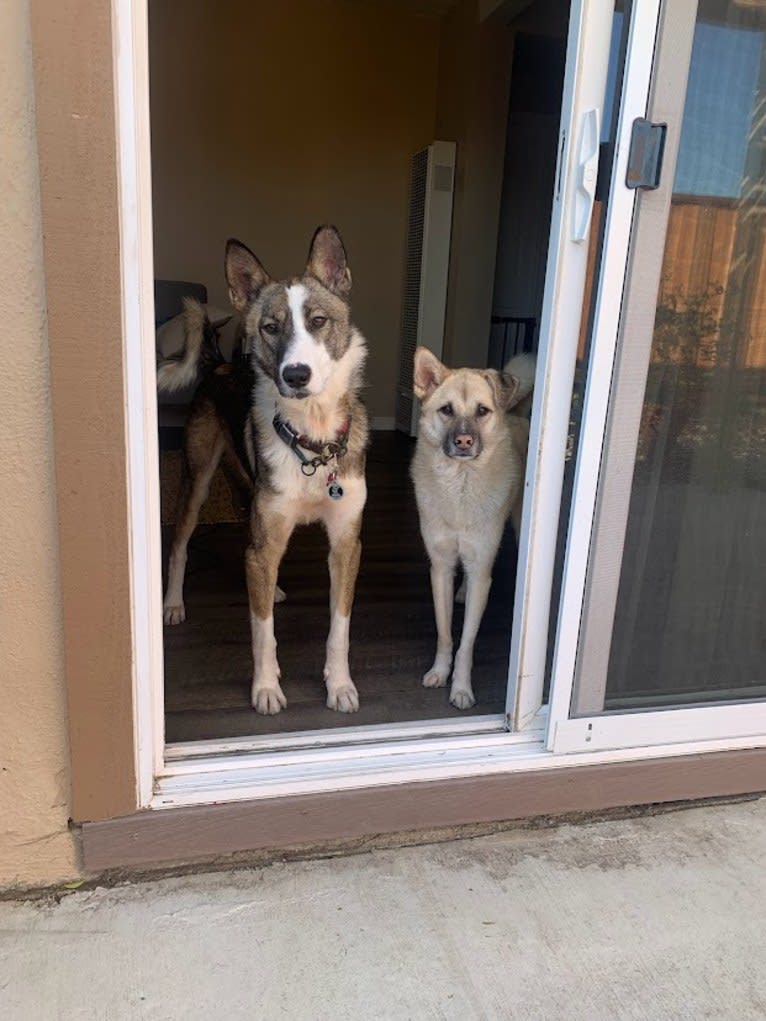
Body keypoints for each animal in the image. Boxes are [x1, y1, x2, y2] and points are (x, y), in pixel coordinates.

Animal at [410, 347, 535, 706]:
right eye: (446, 410)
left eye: (482, 411)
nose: (464, 441)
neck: (460, 488)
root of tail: (515, 414)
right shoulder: (440, 567)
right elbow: (444, 633)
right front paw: (440, 672)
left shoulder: (482, 570)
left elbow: (466, 643)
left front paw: (461, 687)